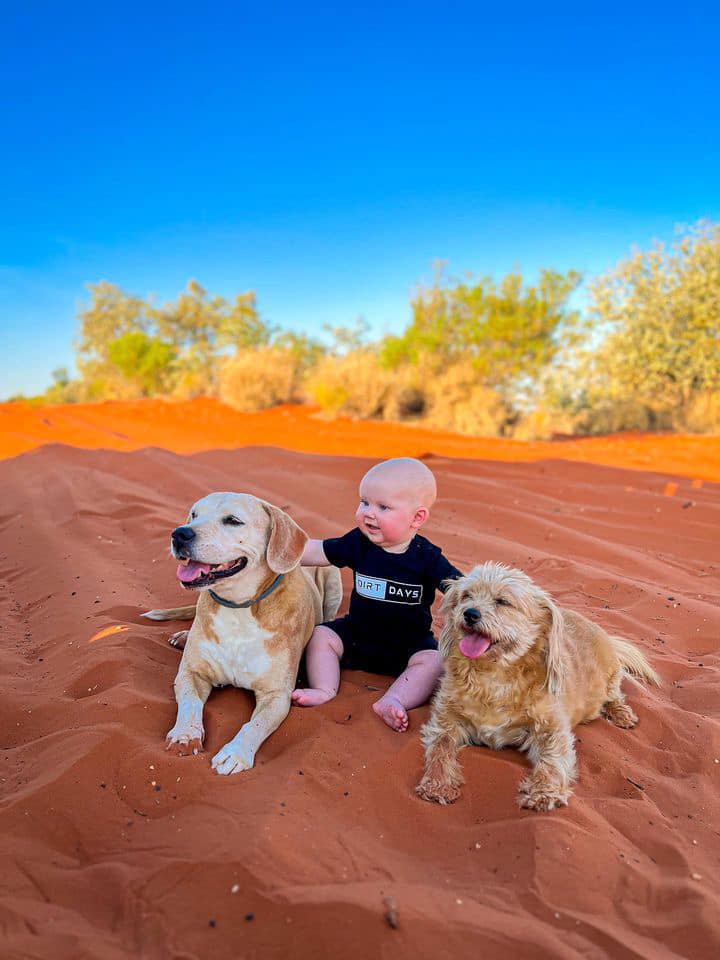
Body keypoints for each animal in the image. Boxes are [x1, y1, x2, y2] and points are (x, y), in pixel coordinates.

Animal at [145, 496, 342, 772]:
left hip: (333, 578)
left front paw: (235, 753)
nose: (179, 534)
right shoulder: (190, 673)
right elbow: (190, 702)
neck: (238, 608)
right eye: (193, 515)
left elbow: (254, 725)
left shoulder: (276, 696)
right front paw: (185, 734)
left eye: (233, 520)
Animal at [416, 564, 660, 808]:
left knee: (615, 695)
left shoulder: (551, 728)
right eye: (466, 596)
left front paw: (544, 792)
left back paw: (622, 714)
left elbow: (553, 759)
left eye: (503, 601)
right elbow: (440, 748)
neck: (493, 676)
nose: (469, 613)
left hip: (610, 679)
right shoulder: (445, 720)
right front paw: (437, 784)